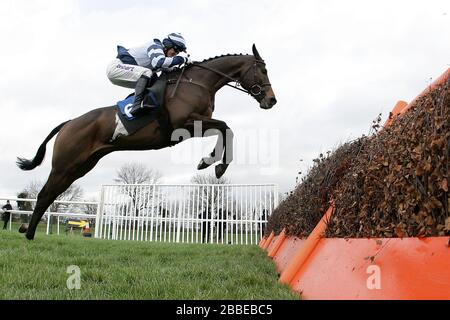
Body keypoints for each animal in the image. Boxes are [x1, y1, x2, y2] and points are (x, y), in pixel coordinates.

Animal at [15, 45, 276, 240]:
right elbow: (226, 127)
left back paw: (28, 231)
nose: (272, 100)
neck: (197, 82)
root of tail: (69, 123)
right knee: (44, 195)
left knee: (51, 194)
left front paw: (212, 163)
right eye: (263, 70)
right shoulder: (184, 124)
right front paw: (213, 163)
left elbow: (225, 129)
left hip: (79, 167)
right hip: (64, 165)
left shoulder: (195, 126)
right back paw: (29, 234)